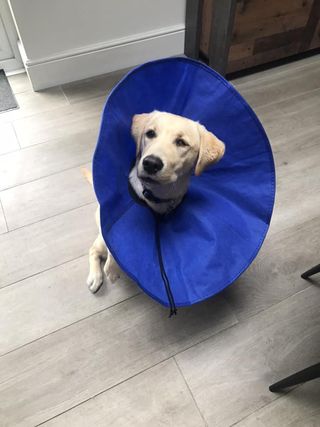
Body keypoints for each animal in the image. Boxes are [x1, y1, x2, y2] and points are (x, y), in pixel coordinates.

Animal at [86, 110, 224, 294]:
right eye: (150, 133)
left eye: (181, 142)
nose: (151, 163)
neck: (158, 195)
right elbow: (113, 248)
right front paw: (112, 269)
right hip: (101, 236)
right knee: (95, 249)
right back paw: (95, 277)